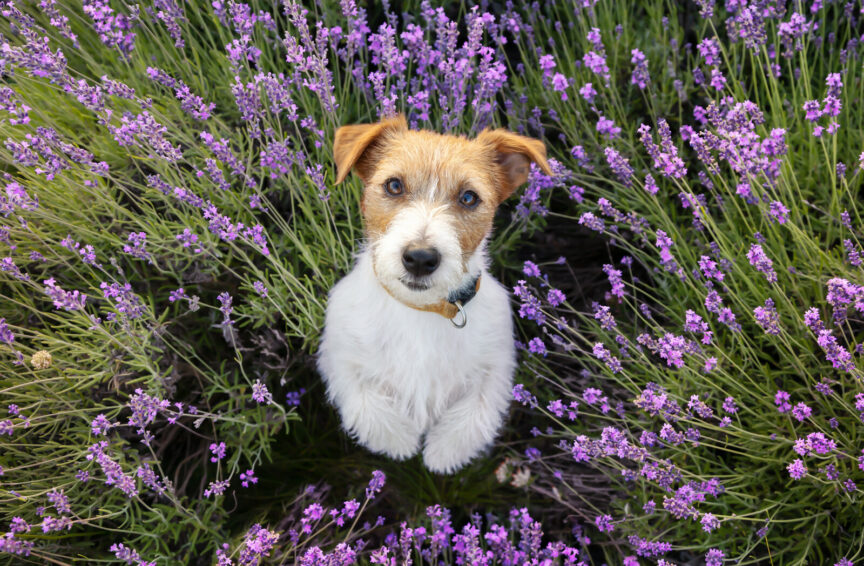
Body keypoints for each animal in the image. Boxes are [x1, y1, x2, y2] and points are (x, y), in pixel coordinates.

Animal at [314, 115, 552, 474]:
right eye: (394, 186)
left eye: (468, 197)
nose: (420, 258)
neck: (421, 310)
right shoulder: (340, 355)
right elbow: (366, 402)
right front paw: (401, 442)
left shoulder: (496, 364)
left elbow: (475, 414)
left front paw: (442, 454)